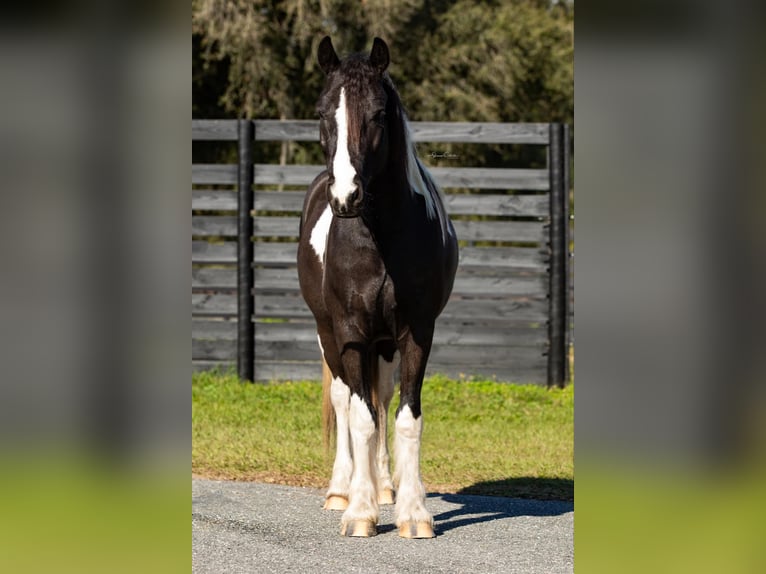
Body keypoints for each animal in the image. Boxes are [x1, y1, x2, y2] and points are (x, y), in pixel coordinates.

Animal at [298, 37, 456, 540]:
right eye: (322, 112)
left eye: (378, 114)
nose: (346, 196)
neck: (380, 236)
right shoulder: (350, 333)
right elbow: (360, 419)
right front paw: (360, 512)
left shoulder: (415, 333)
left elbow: (405, 418)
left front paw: (413, 511)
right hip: (328, 334)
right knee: (346, 400)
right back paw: (342, 490)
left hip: (383, 345)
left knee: (381, 398)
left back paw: (386, 486)